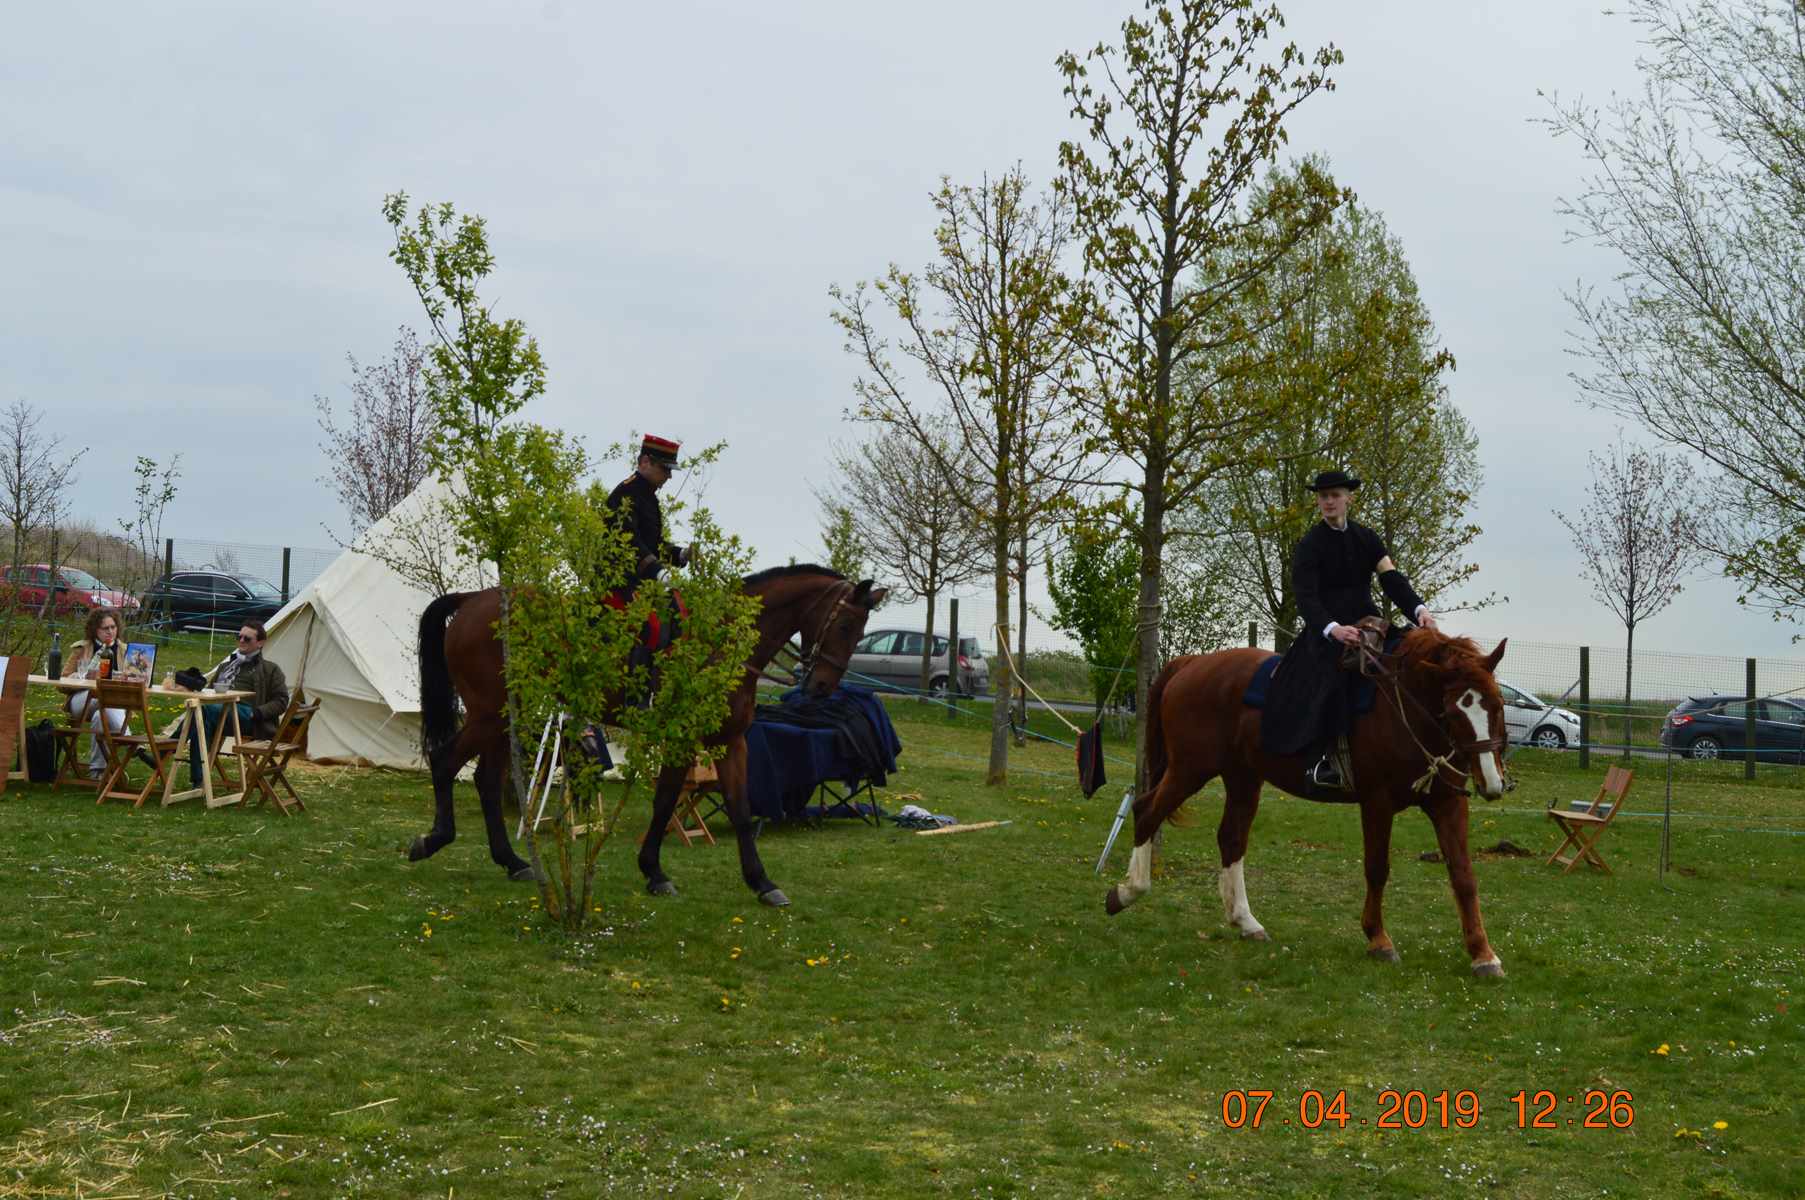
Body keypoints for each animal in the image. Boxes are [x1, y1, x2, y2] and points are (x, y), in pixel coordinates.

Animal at [409, 565, 887, 906]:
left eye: (860, 631)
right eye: (845, 626)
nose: (821, 687)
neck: (719, 641)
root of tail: (474, 599)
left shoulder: (730, 742)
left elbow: (738, 807)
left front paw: (761, 881)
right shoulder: (682, 740)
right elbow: (666, 801)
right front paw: (655, 873)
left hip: (506, 715)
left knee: (486, 781)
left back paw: (511, 862)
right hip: (490, 713)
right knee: (446, 761)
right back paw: (433, 839)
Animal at [1105, 628, 1512, 977]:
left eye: (1498, 705)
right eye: (1454, 711)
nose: (1492, 784)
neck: (1404, 710)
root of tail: (1191, 664)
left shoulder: (1447, 803)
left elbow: (1463, 875)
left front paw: (1483, 954)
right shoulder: (1377, 803)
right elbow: (1377, 869)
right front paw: (1379, 940)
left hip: (1242, 778)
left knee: (1231, 838)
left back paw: (1246, 921)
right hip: (1190, 770)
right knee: (1146, 811)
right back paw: (1126, 892)